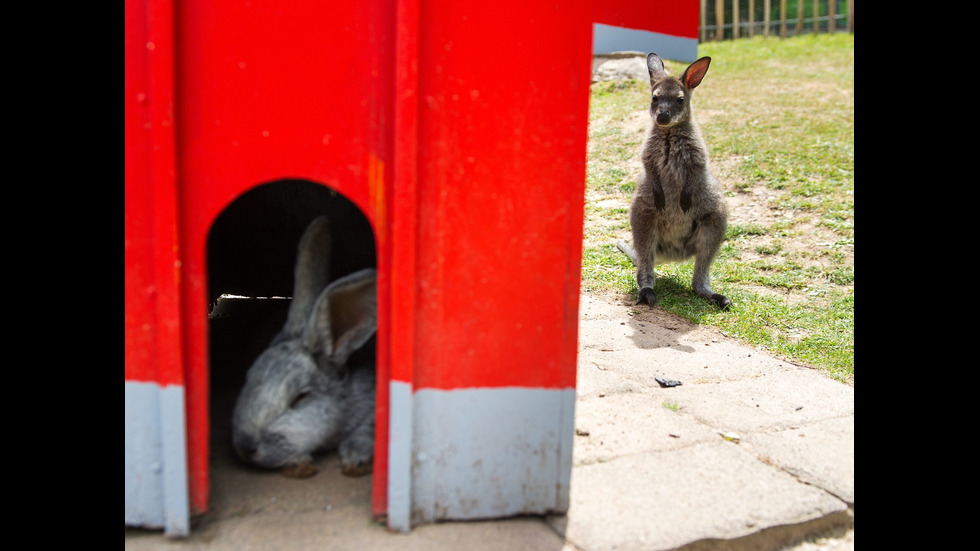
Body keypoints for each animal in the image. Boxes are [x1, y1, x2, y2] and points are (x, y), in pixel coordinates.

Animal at [232, 216, 378, 478]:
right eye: (248, 378)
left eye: (300, 398)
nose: (244, 447)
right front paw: (300, 463)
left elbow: (365, 431)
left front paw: (355, 459)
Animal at [624, 52, 732, 310]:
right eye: (654, 98)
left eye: (680, 100)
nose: (662, 116)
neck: (669, 132)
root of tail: (673, 253)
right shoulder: (649, 157)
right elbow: (652, 172)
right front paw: (663, 198)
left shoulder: (697, 157)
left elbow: (694, 174)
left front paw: (684, 201)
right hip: (642, 217)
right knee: (645, 267)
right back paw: (647, 293)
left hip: (715, 218)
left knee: (699, 278)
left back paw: (717, 297)